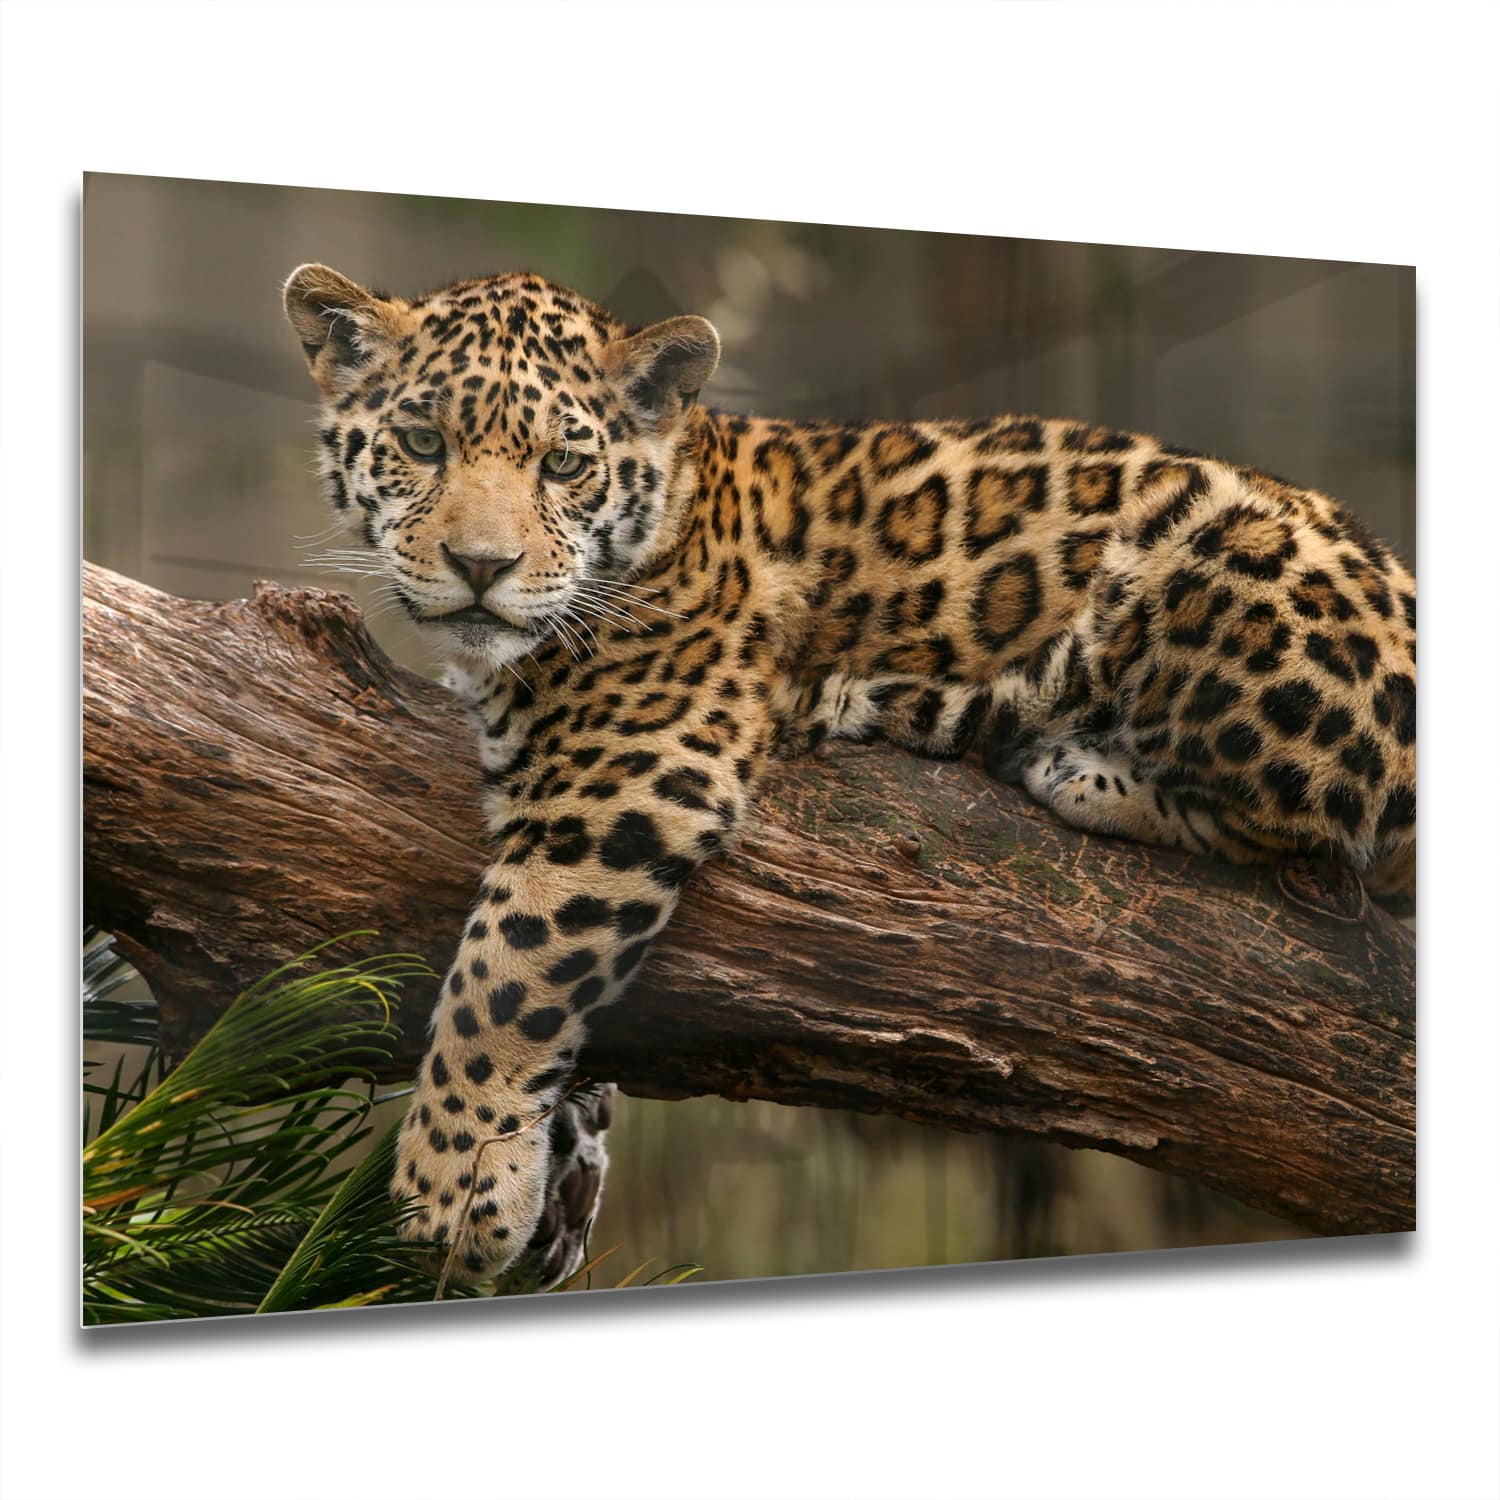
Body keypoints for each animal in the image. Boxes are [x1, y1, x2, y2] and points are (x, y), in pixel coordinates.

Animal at [283, 262, 1416, 1285]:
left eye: (564, 463)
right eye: (423, 444)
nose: (483, 567)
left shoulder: (630, 773)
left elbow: (505, 974)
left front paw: (449, 1186)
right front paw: (562, 1164)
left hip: (1215, 547)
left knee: (1309, 815)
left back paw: (1051, 755)